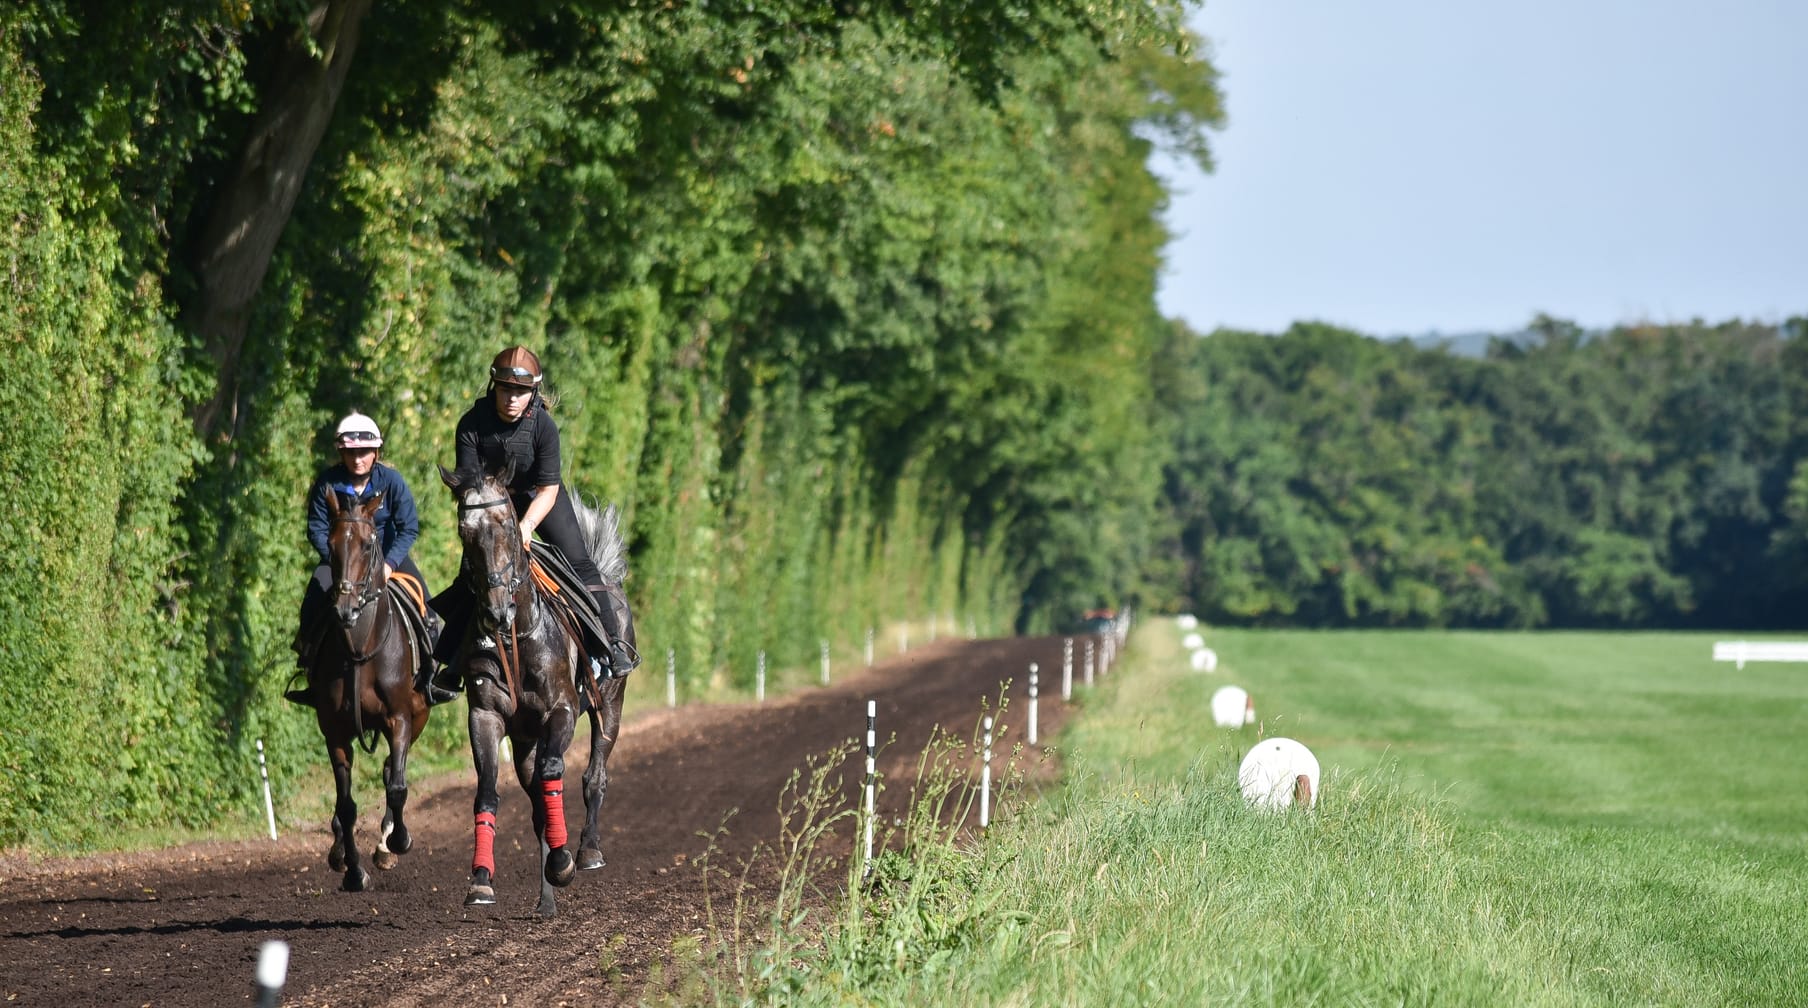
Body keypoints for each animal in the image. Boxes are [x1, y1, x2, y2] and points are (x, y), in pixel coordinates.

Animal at [297, 490, 433, 892]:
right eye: (330, 544)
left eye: (369, 543)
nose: (344, 608)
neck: (359, 649)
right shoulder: (335, 732)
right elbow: (346, 805)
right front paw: (354, 871)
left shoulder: (400, 718)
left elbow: (398, 786)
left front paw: (399, 840)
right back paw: (342, 852)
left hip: (419, 717)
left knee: (391, 771)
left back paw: (387, 844)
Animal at [439, 459, 628, 916]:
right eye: (464, 530)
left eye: (508, 524)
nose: (496, 611)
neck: (519, 637)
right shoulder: (485, 715)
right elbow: (487, 795)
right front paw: (481, 881)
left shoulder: (561, 710)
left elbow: (554, 771)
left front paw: (564, 863)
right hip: (524, 740)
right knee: (538, 802)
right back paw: (546, 899)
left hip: (610, 706)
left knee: (594, 775)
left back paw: (587, 851)